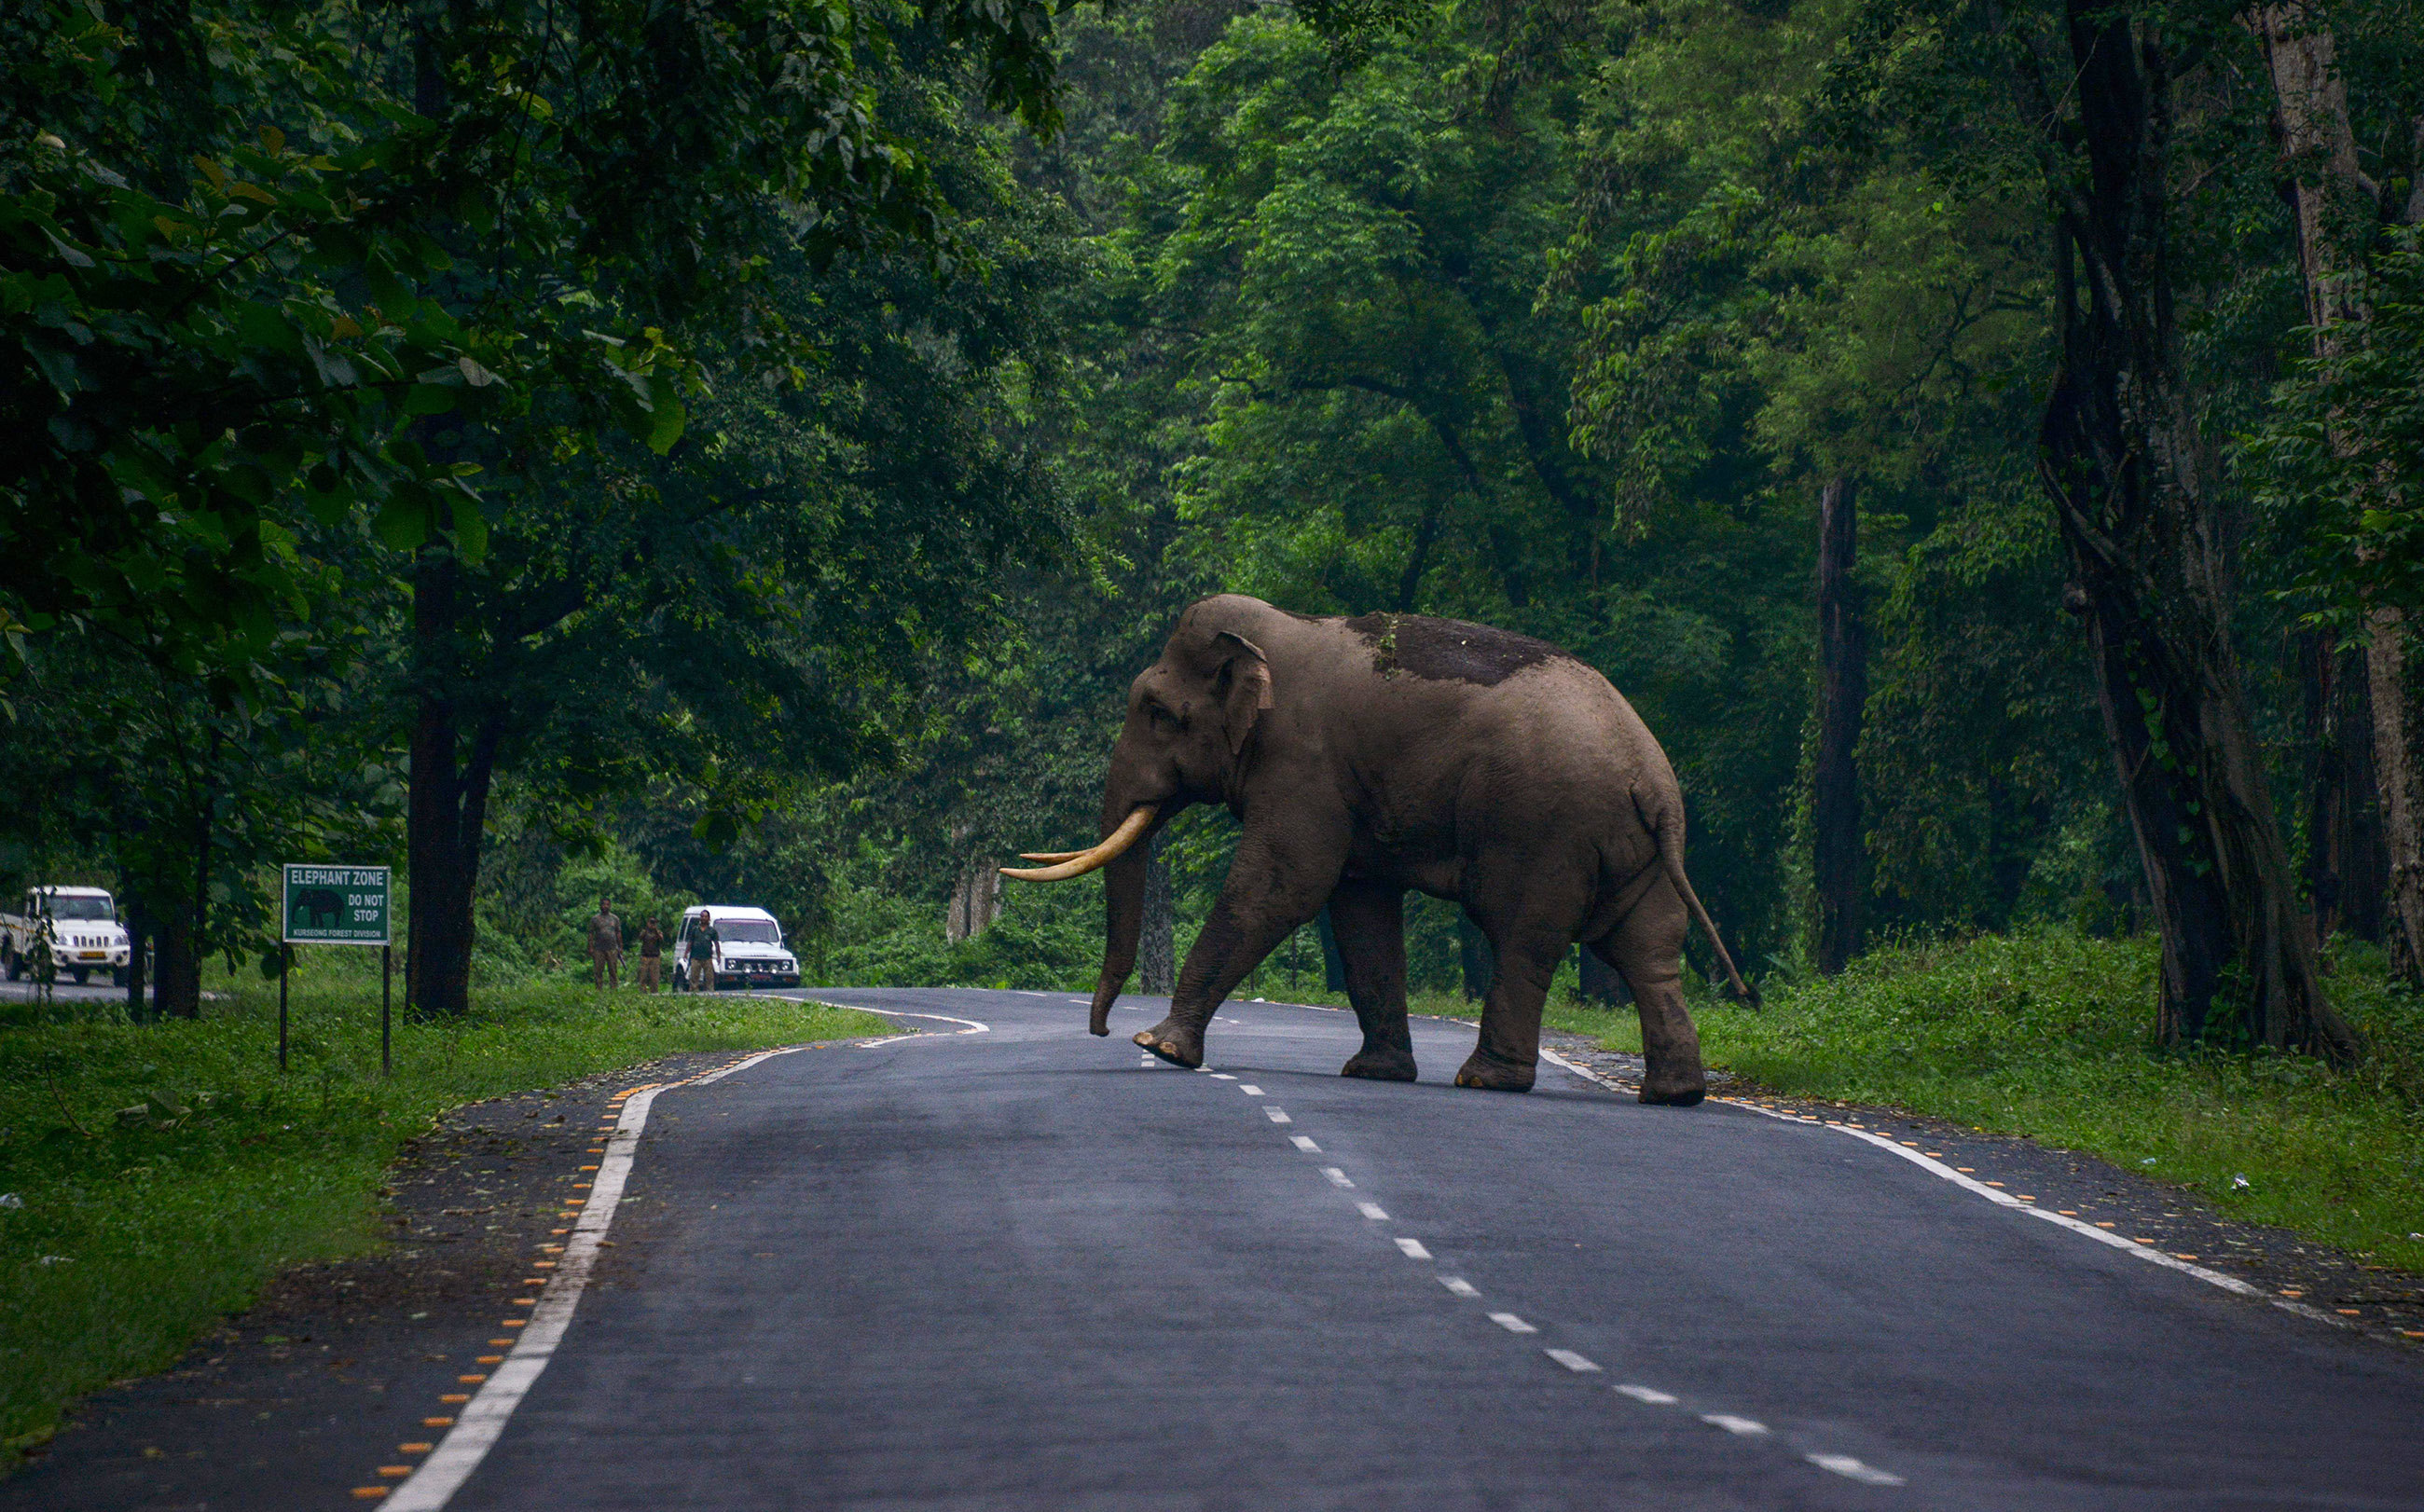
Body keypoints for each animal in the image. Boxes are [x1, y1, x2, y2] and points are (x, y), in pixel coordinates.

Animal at [994, 596, 1755, 1105]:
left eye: (1157, 713)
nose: (1098, 1031)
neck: (1279, 631)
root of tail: (1651, 779)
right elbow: (1358, 907)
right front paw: (1374, 1073)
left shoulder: (1304, 761)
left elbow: (1285, 883)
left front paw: (1159, 1046)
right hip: (1631, 847)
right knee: (1647, 949)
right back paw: (1675, 1093)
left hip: (1546, 831)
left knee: (1523, 934)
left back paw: (1486, 1080)